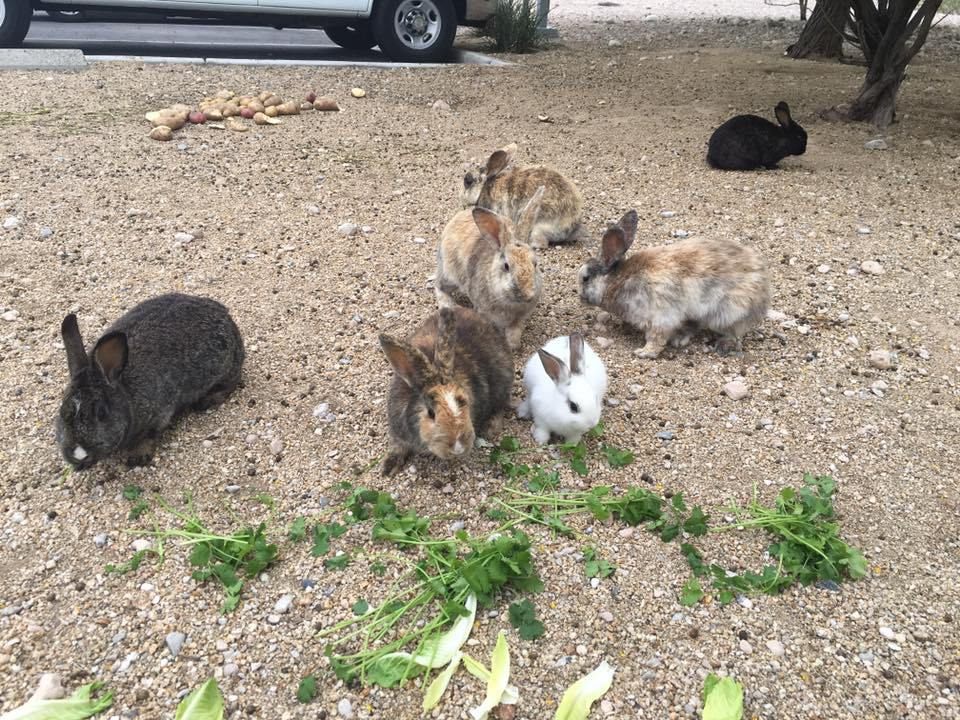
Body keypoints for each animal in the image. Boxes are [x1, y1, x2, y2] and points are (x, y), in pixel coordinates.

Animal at [56, 294, 246, 470]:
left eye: (101, 413)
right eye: (61, 411)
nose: (78, 454)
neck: (124, 389)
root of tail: (226, 315)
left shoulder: (159, 414)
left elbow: (150, 435)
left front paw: (137, 457)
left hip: (226, 368)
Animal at [376, 306, 512, 478]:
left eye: (463, 402)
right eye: (431, 413)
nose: (458, 448)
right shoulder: (397, 432)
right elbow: (397, 446)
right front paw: (388, 468)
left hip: (503, 383)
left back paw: (491, 428)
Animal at [436, 186, 544, 348]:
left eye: (535, 263)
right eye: (506, 266)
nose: (528, 294)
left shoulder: (518, 320)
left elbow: (514, 333)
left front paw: (513, 345)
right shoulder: (484, 311)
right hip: (449, 275)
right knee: (439, 287)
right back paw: (449, 304)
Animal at [576, 211, 772, 360]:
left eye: (585, 278)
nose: (580, 298)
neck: (616, 280)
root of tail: (763, 292)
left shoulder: (661, 315)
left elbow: (656, 338)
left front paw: (644, 353)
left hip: (729, 311)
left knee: (734, 332)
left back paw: (724, 345)